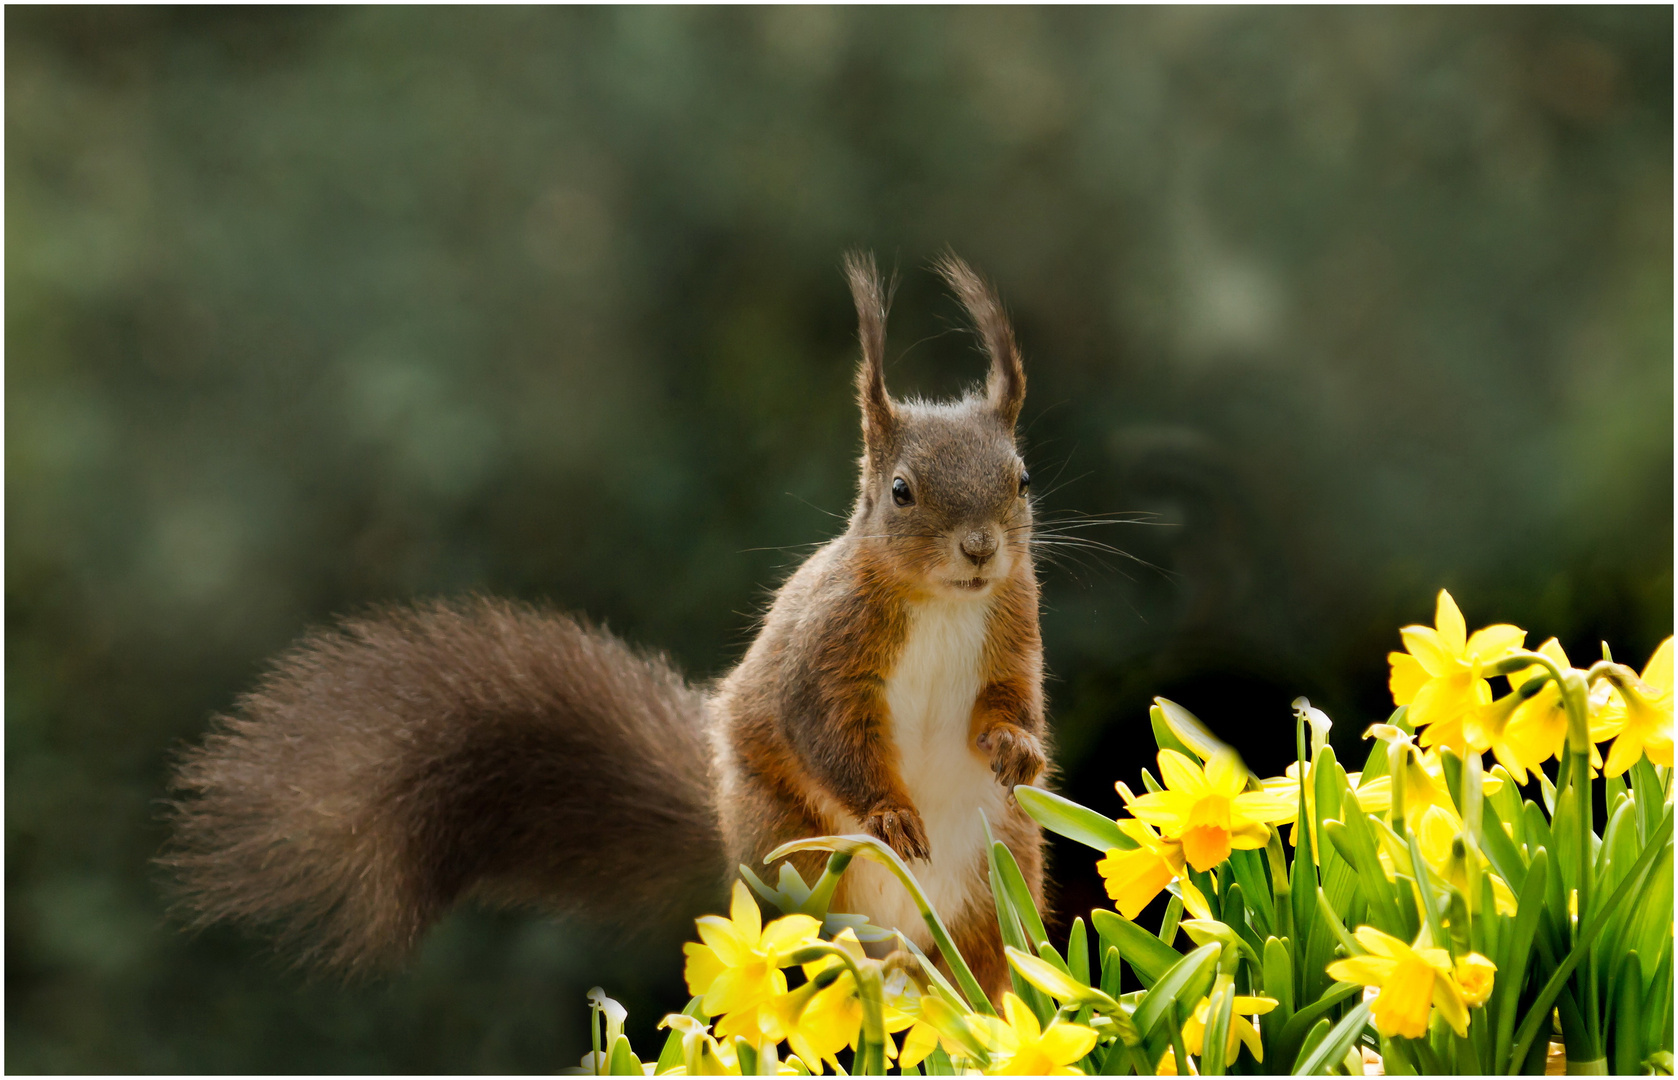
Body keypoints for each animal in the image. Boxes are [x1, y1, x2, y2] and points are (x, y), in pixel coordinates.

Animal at [160, 251, 1047, 992]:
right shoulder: (828, 647)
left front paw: (1016, 746)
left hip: (999, 874)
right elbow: (823, 727)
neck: (944, 605)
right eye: (901, 492)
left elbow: (1009, 698)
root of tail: (902, 940)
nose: (979, 549)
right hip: (787, 850)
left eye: (1022, 480)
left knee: (990, 971)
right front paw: (889, 809)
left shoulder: (1012, 621)